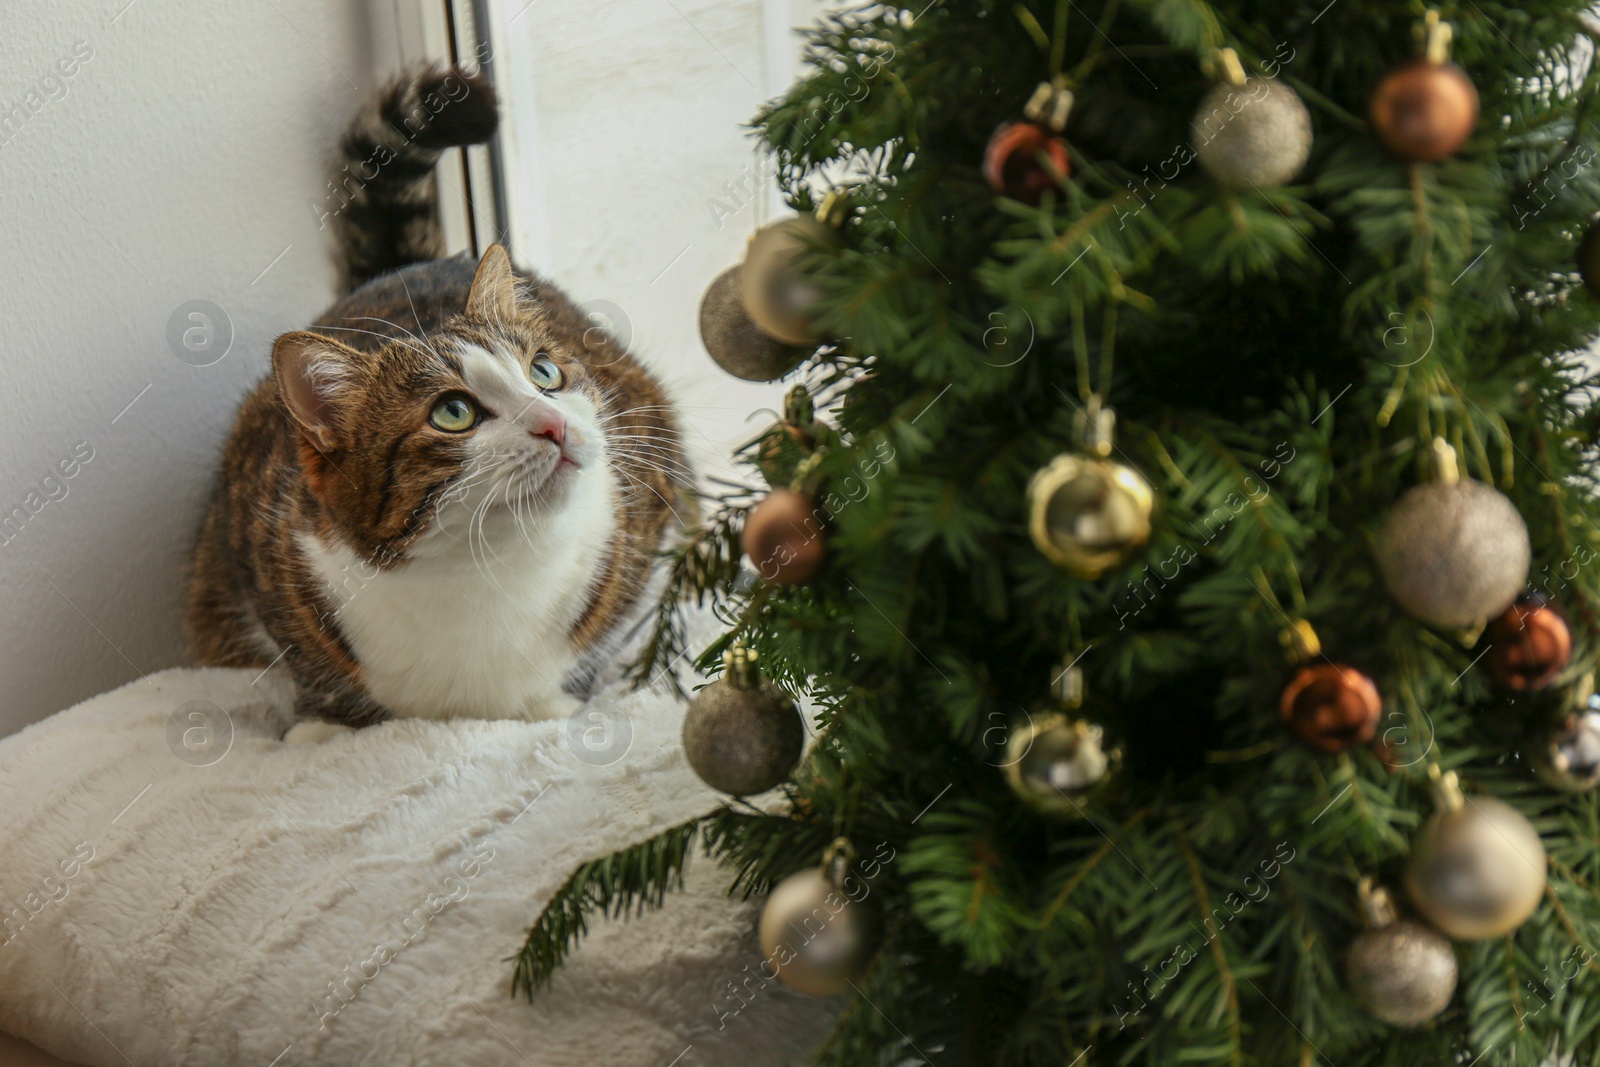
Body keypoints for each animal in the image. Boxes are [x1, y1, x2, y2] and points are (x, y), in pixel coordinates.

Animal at [187, 64, 688, 735]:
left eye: (545, 373)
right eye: (454, 413)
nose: (554, 424)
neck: (485, 576)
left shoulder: (646, 517)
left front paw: (553, 703)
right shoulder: (262, 549)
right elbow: (303, 661)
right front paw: (322, 725)